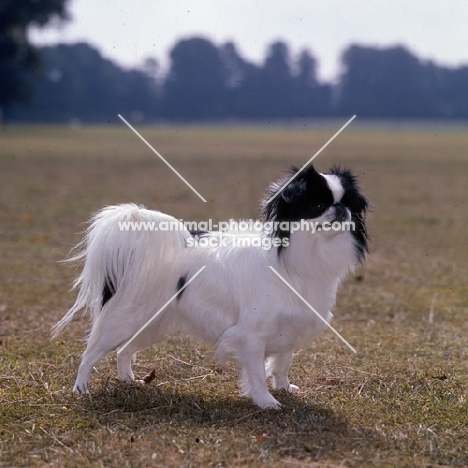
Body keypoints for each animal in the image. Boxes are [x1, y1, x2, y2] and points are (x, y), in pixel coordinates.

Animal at [55, 165, 370, 410]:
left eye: (349, 204)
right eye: (317, 206)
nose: (340, 209)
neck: (300, 257)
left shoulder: (289, 326)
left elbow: (282, 363)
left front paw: (283, 387)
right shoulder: (252, 335)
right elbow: (257, 373)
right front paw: (267, 402)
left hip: (151, 325)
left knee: (124, 350)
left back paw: (128, 380)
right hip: (124, 320)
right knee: (91, 354)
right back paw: (81, 389)